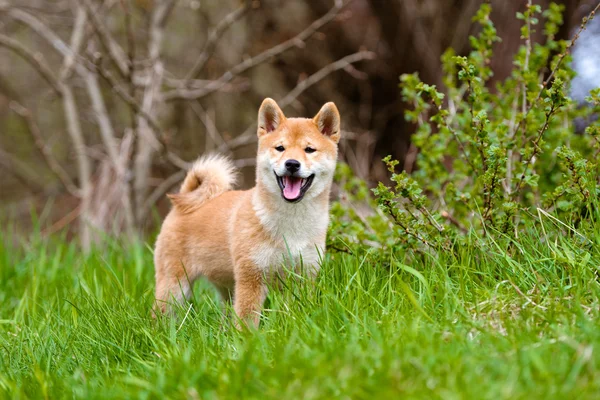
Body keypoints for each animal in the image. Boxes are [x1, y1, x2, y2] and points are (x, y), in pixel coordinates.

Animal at [154, 98, 342, 326]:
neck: (291, 225)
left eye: (309, 149)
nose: (292, 164)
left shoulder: (303, 275)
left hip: (225, 287)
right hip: (175, 286)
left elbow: (294, 313)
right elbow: (247, 320)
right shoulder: (251, 276)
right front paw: (248, 336)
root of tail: (180, 206)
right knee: (160, 312)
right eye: (280, 148)